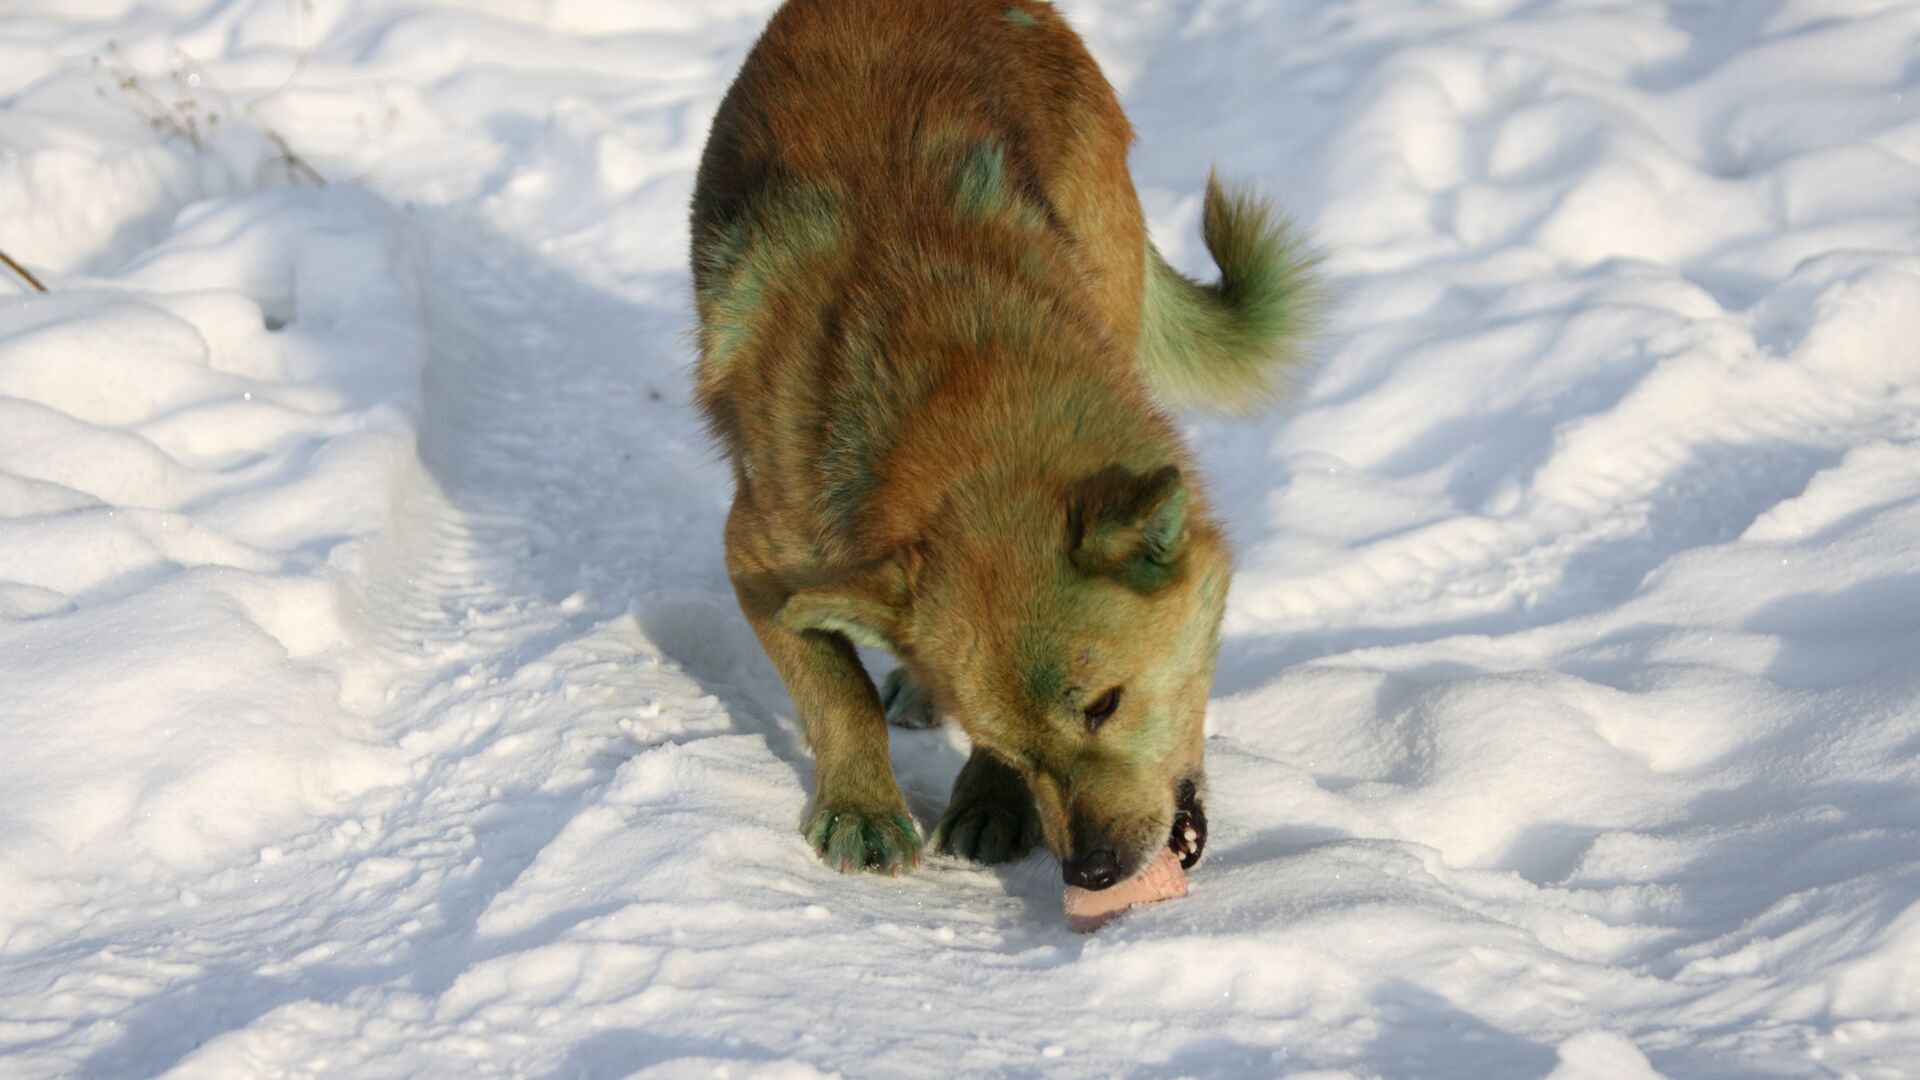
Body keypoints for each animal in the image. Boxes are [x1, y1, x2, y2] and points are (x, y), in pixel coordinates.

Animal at [691, 0, 1320, 887]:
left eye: (1104, 705)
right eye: (1020, 748)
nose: (1090, 871)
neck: (957, 386)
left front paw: (988, 802)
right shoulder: (758, 557)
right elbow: (838, 693)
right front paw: (863, 808)